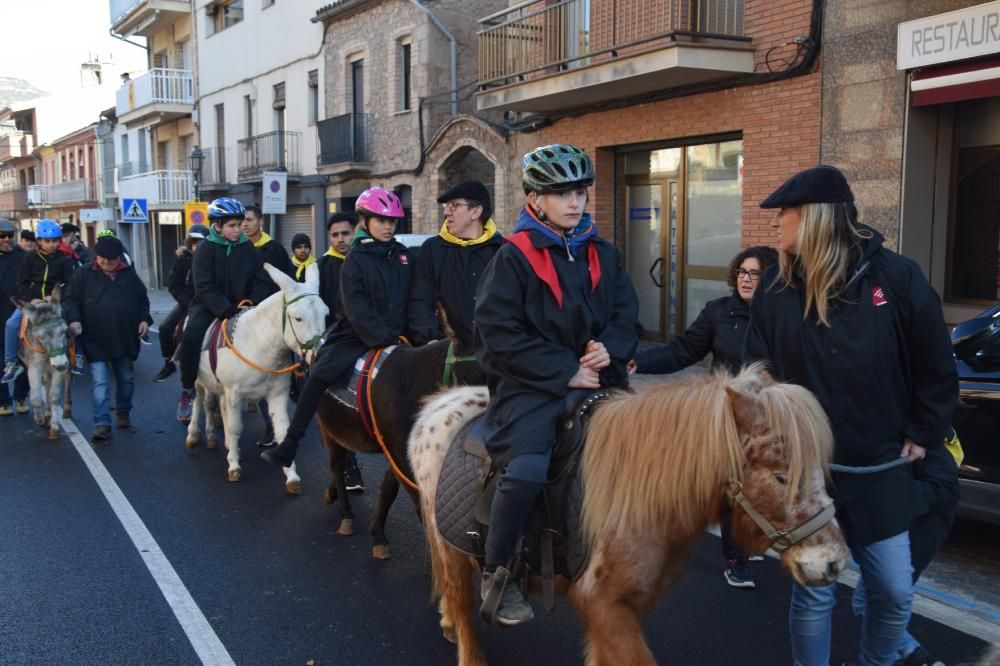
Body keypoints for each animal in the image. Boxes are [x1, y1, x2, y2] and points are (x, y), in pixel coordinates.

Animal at [314, 332, 482, 560]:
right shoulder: (401, 458)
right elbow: (420, 507)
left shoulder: (399, 454)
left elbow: (388, 489)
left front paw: (378, 535)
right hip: (330, 429)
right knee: (337, 465)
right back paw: (345, 514)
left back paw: (332, 493)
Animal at [410, 364, 848, 664]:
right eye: (781, 476)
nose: (835, 563)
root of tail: (438, 406)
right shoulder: (604, 605)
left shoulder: (631, 604)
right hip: (449, 545)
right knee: (462, 601)